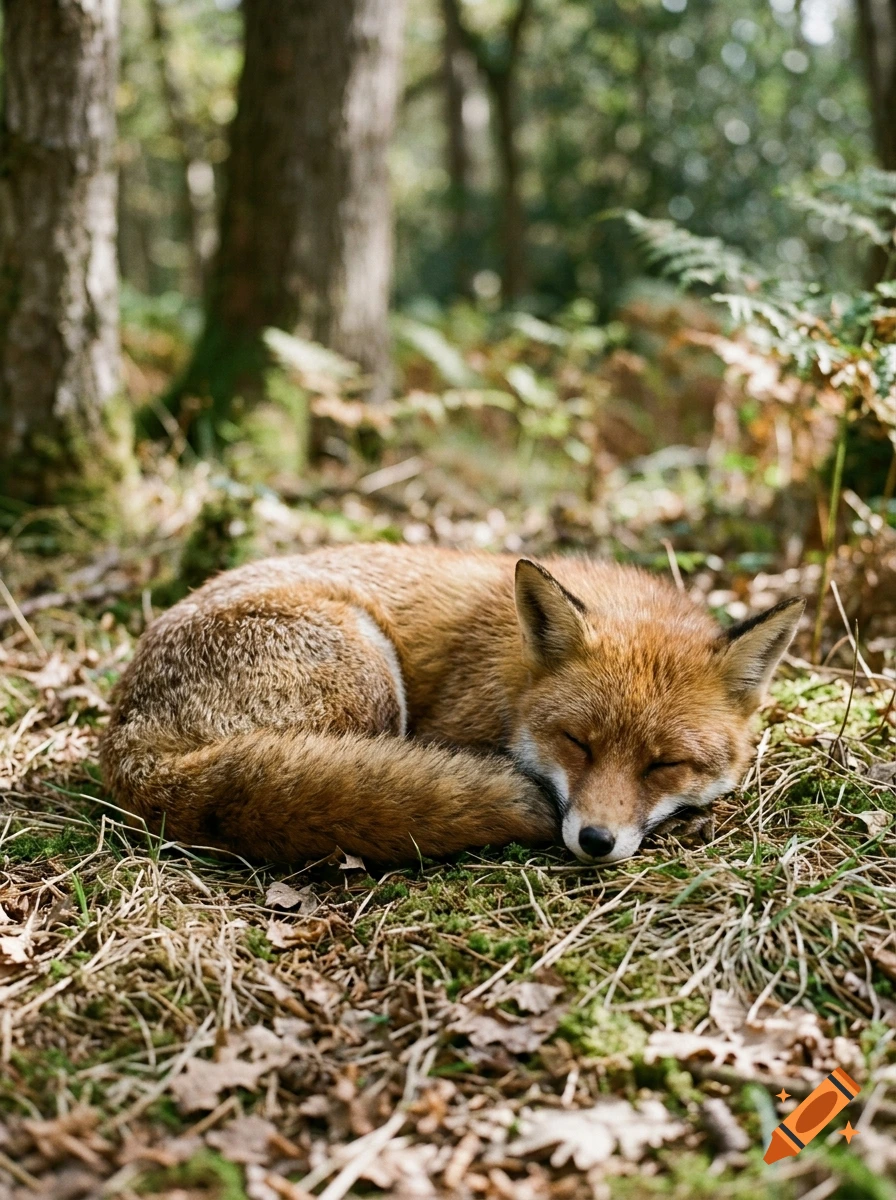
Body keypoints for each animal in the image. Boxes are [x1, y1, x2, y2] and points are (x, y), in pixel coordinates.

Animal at [100, 543, 803, 866]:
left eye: (664, 765)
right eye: (577, 743)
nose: (595, 841)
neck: (512, 677)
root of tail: (128, 740)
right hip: (369, 678)